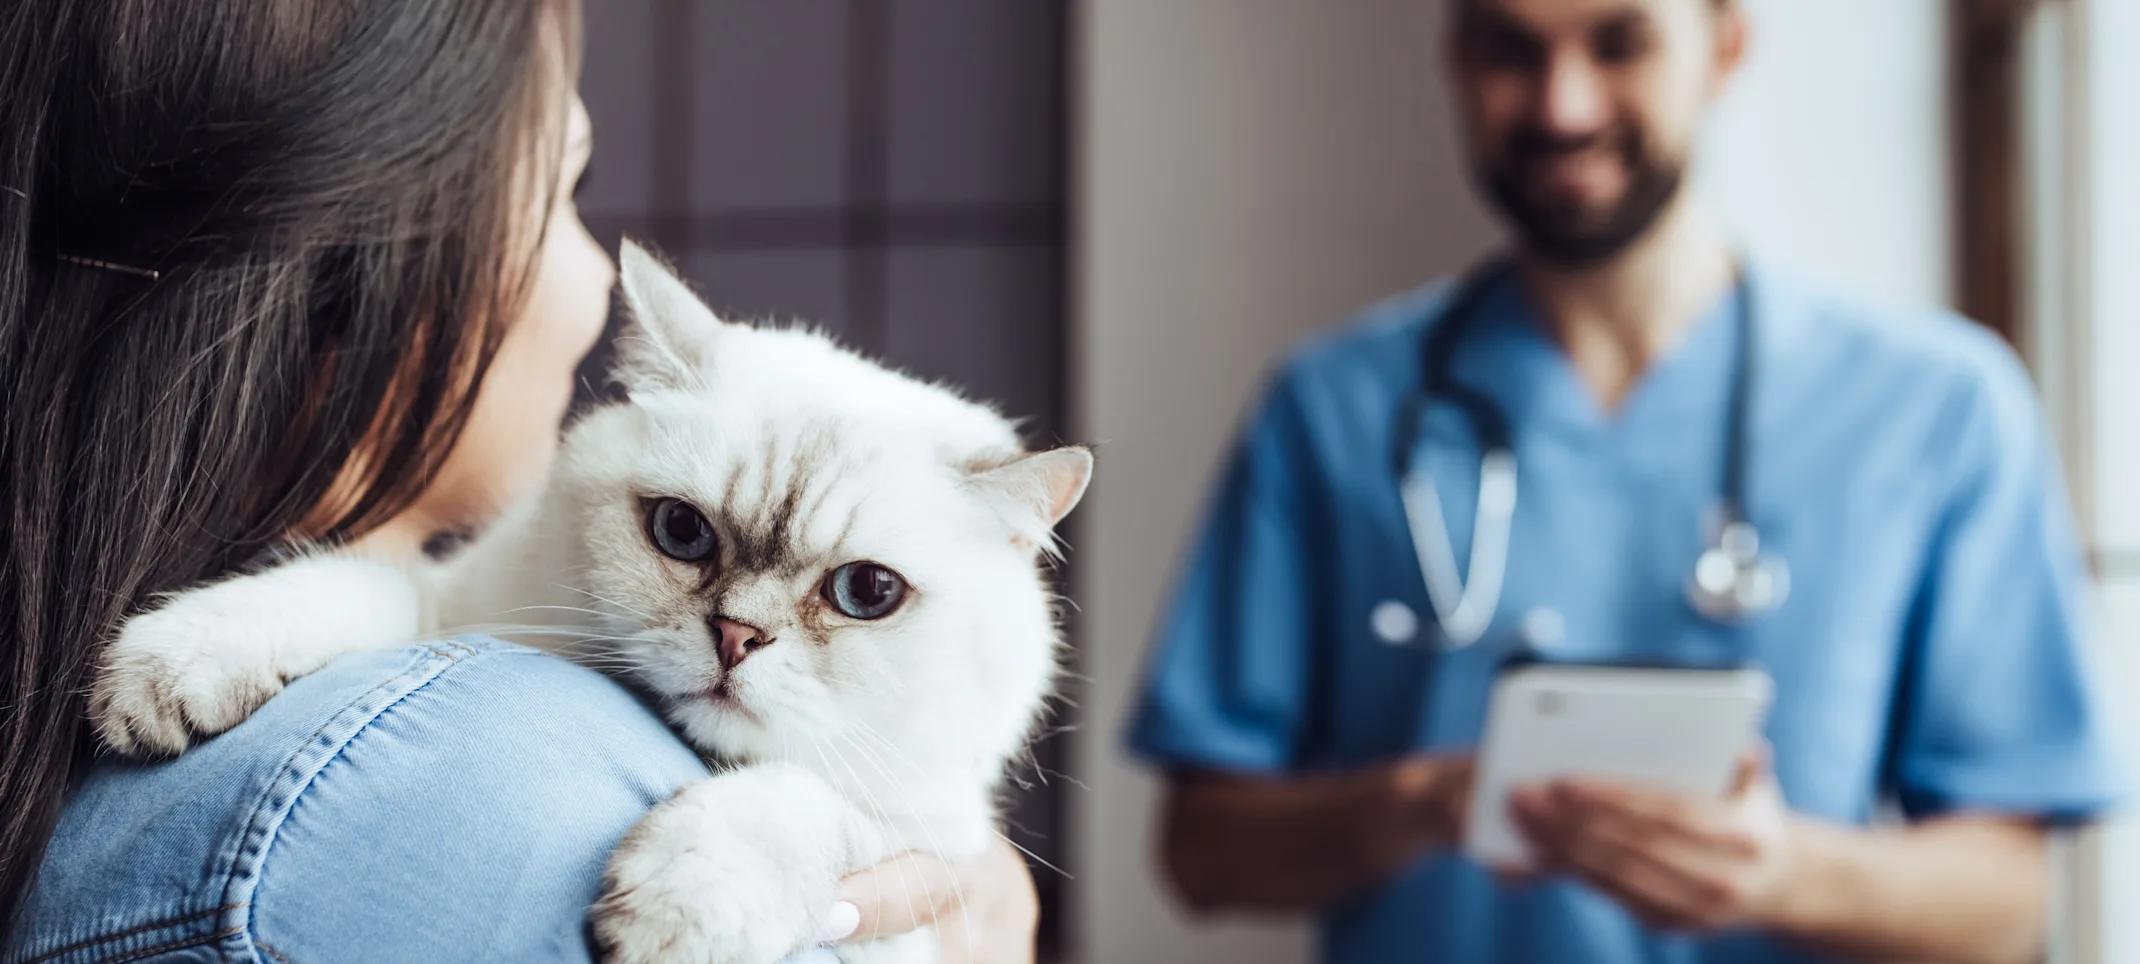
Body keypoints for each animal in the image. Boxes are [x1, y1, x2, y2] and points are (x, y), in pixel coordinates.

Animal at [83, 243, 1087, 964]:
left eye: (866, 592)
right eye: (682, 532)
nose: (737, 636)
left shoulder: (931, 842)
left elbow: (805, 806)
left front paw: (675, 905)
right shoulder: (458, 611)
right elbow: (347, 584)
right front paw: (165, 676)